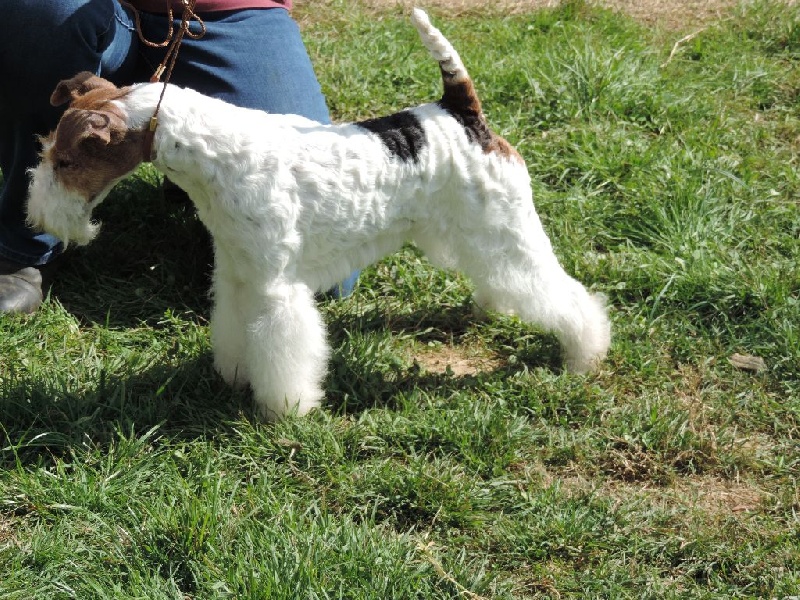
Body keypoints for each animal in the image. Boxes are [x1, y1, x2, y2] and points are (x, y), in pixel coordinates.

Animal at [28, 10, 608, 422]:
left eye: (68, 161)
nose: (37, 217)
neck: (215, 156)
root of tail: (462, 112)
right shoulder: (238, 273)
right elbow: (234, 329)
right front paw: (234, 375)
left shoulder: (276, 287)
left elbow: (283, 347)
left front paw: (284, 410)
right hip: (478, 233)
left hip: (507, 228)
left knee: (567, 295)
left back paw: (585, 354)